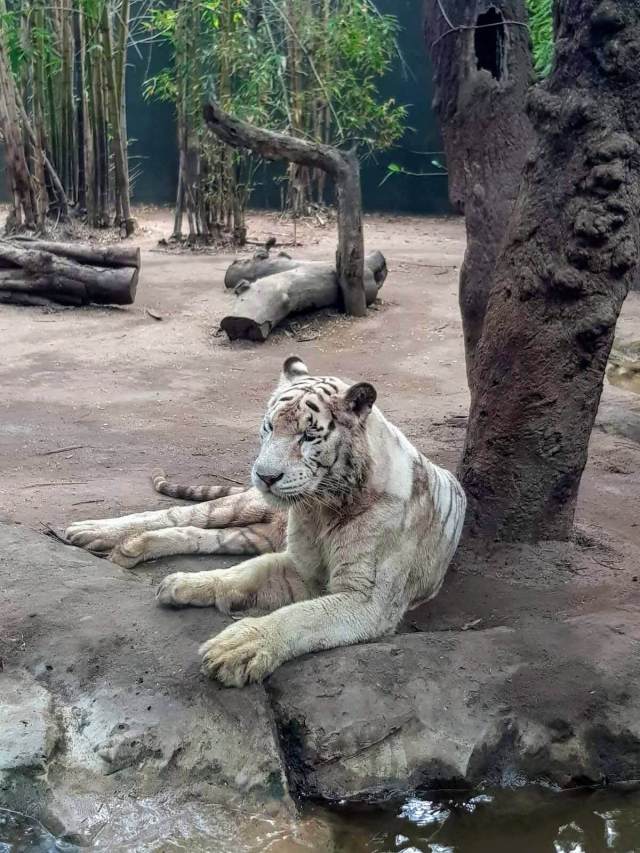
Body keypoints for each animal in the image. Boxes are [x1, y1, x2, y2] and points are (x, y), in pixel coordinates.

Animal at [67, 356, 466, 687]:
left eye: (308, 435)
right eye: (270, 427)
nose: (265, 476)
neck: (320, 508)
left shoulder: (366, 599)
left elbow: (300, 616)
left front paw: (236, 648)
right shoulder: (301, 564)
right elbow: (244, 573)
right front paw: (187, 583)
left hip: (251, 534)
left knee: (198, 534)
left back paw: (129, 549)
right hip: (242, 506)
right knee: (181, 515)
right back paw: (96, 533)